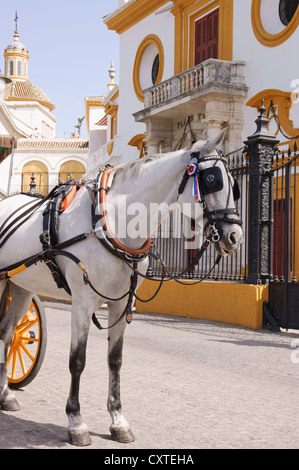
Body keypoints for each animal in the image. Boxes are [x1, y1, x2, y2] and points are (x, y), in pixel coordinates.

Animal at [0, 129, 244, 444]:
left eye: (235, 187)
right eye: (212, 179)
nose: (235, 236)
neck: (108, 222)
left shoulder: (120, 302)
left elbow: (114, 360)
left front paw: (118, 420)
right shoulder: (81, 303)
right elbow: (77, 360)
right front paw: (76, 421)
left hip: (20, 285)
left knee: (6, 334)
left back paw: (6, 395)